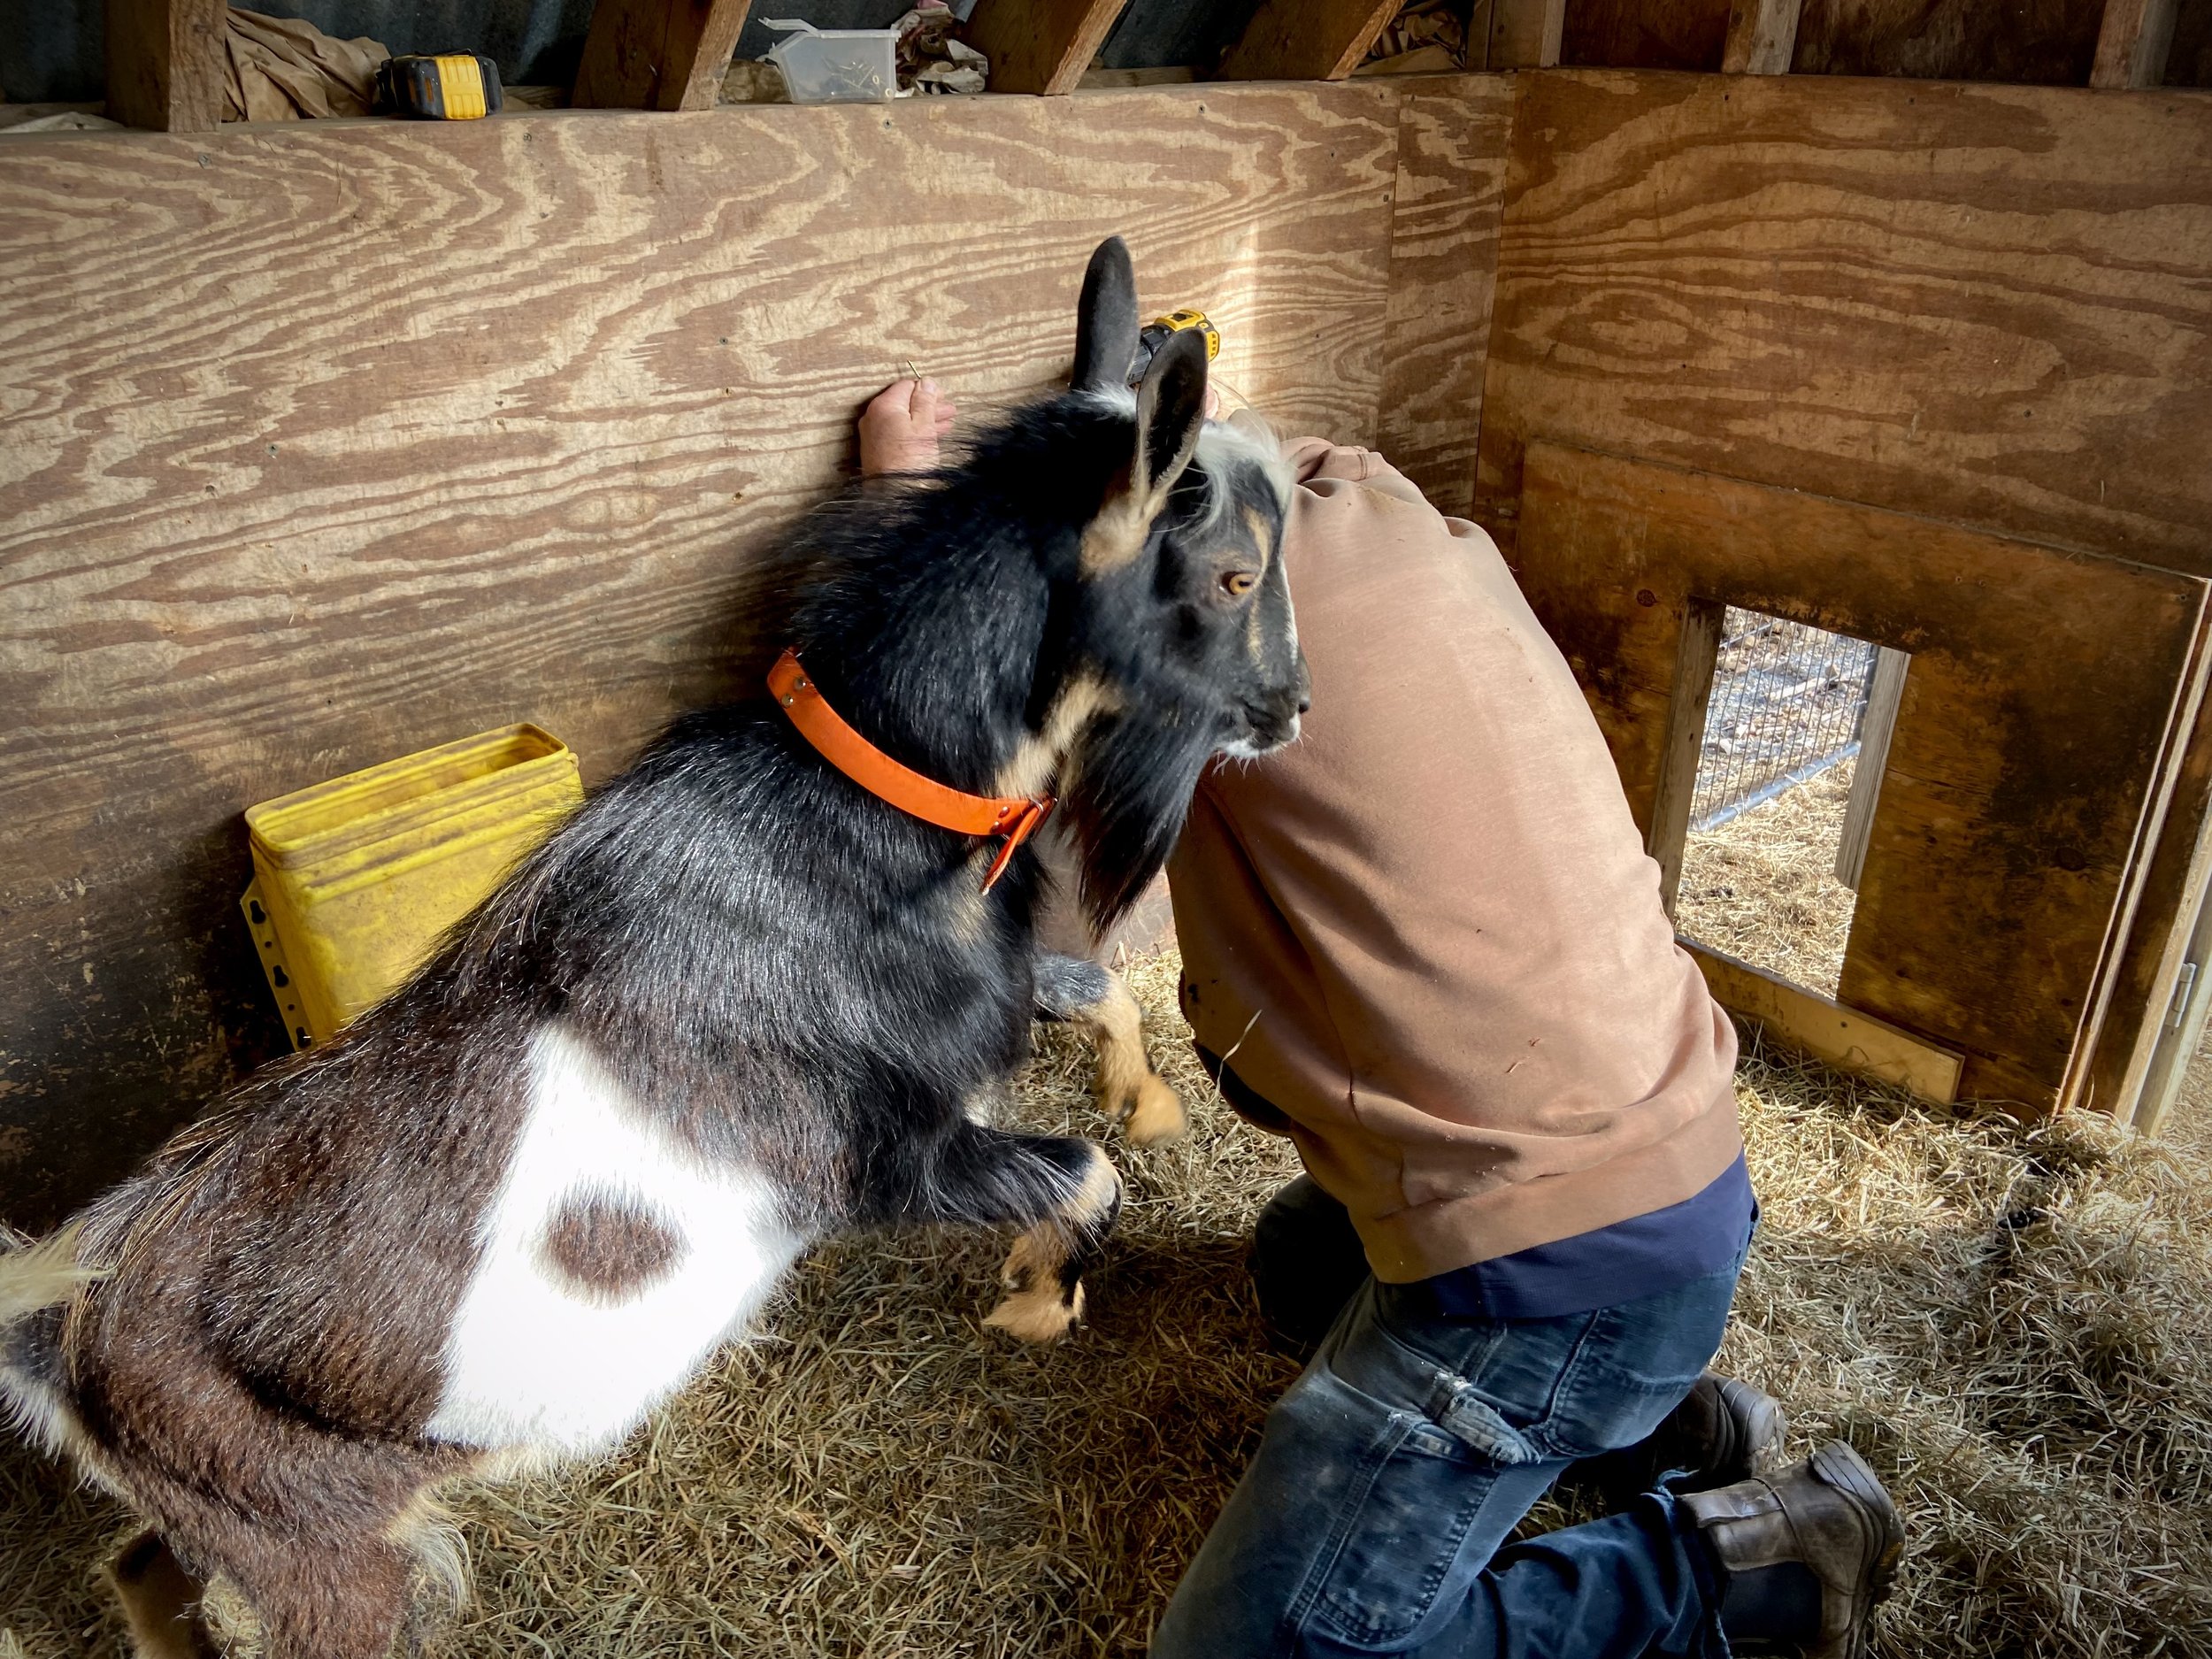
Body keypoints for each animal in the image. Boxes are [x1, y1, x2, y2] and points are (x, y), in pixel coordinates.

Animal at [0, 236, 1301, 1659]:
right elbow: (1083, 1178)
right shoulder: (882, 1159)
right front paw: (1032, 1299)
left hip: (239, 1521)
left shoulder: (978, 1031)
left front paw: (1148, 1103)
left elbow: (1097, 993)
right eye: (1234, 575)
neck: (851, 818)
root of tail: (56, 1335)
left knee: (144, 1564)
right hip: (325, 1550)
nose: (1292, 708)